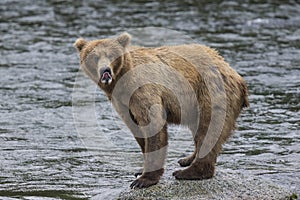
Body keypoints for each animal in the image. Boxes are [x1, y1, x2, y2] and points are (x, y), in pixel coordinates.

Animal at [74, 32, 248, 189]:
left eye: (111, 55)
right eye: (94, 57)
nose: (105, 71)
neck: (121, 82)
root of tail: (236, 75)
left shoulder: (142, 88)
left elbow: (153, 125)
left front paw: (143, 180)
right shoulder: (122, 103)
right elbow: (137, 130)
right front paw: (140, 170)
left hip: (211, 92)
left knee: (209, 128)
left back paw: (189, 172)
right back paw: (187, 159)